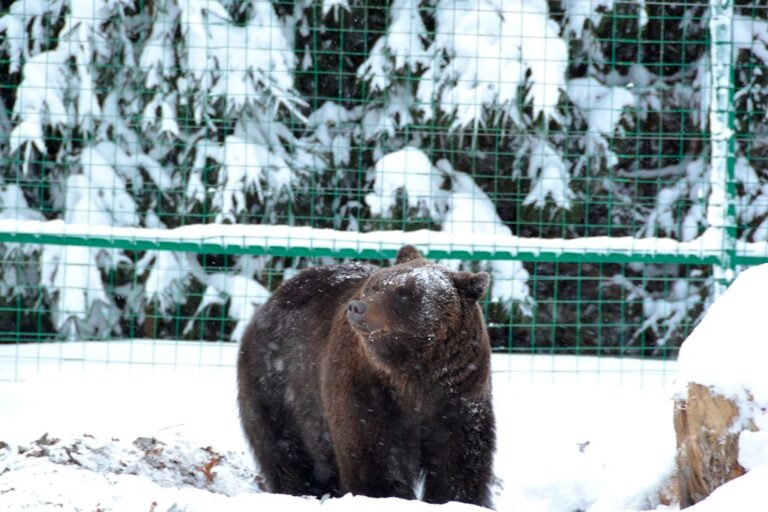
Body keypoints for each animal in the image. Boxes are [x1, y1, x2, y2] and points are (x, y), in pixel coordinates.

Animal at [237, 246, 496, 506]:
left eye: (404, 292)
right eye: (373, 286)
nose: (357, 307)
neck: (413, 374)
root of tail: (272, 299)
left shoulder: (457, 393)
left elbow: (458, 459)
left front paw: (457, 499)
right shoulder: (367, 388)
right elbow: (374, 453)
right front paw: (383, 495)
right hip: (277, 382)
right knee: (284, 449)